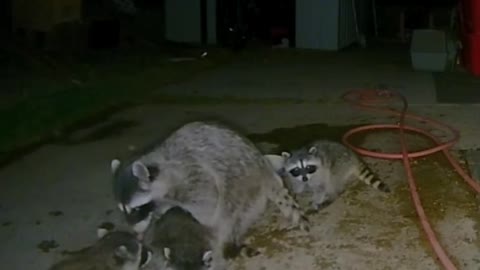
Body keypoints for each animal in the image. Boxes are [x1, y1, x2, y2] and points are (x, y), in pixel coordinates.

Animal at [110, 121, 310, 268]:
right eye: (123, 210)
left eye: (136, 209)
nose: (136, 233)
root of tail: (265, 170)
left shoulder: (193, 177)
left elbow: (206, 206)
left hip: (242, 187)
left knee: (225, 218)